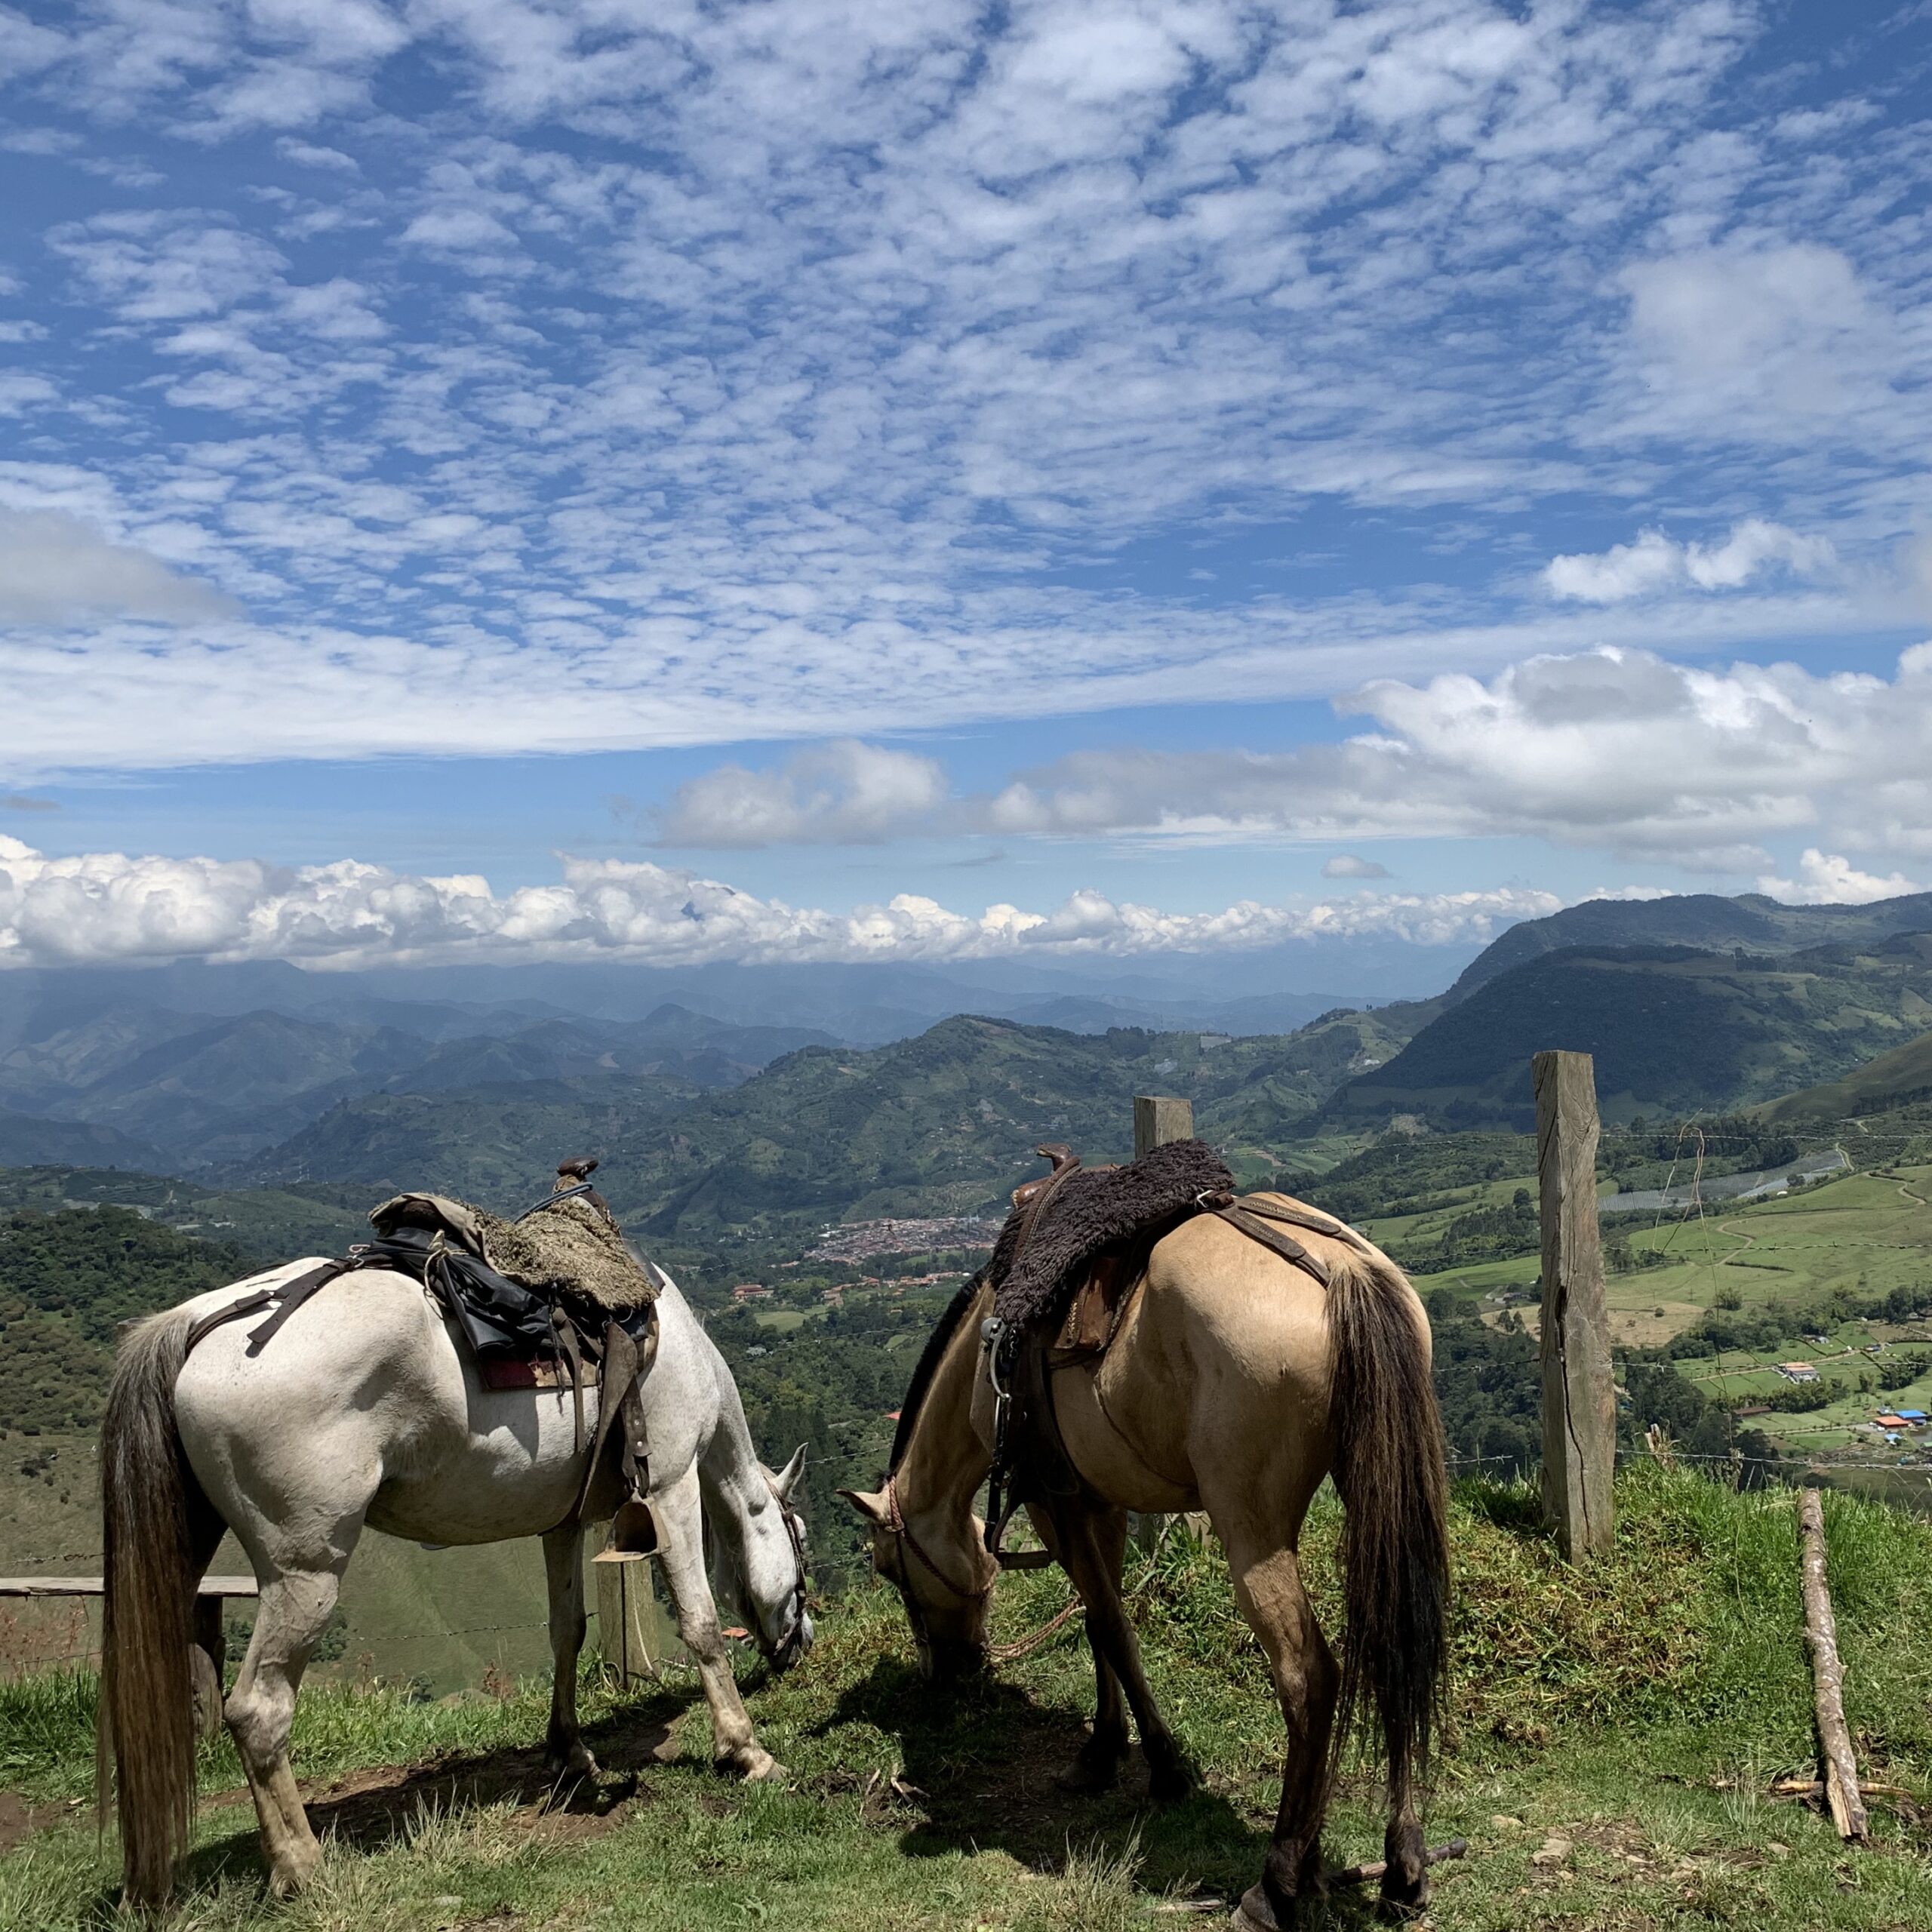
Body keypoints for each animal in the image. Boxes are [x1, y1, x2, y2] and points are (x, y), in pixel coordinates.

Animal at [97, 1251, 811, 1901]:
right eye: (801, 1541)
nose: (801, 1643)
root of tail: (199, 1323)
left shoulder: (562, 1524)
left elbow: (567, 1632)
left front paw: (569, 1752)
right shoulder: (670, 1487)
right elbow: (700, 1624)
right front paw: (745, 1751)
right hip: (304, 1573)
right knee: (257, 1710)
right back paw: (301, 1867)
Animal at [838, 1189, 1444, 1932]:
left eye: (892, 1573)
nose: (946, 1673)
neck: (989, 1354)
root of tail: (1342, 1274)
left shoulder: (1056, 1501)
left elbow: (1109, 1627)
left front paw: (1153, 1762)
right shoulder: (1099, 1500)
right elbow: (1103, 1624)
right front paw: (1105, 1747)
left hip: (1253, 1531)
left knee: (1309, 1678)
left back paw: (1275, 1883)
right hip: (1377, 1494)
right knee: (1396, 1646)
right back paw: (1401, 1868)